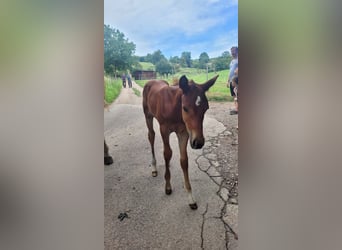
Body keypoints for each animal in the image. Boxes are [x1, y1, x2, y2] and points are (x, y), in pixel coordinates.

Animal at [142, 74, 218, 209]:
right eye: (185, 108)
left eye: (206, 108)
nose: (198, 142)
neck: (174, 109)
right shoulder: (164, 130)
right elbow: (167, 153)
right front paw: (167, 186)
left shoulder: (184, 133)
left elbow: (184, 160)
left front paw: (190, 198)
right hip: (148, 115)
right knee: (151, 136)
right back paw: (154, 168)